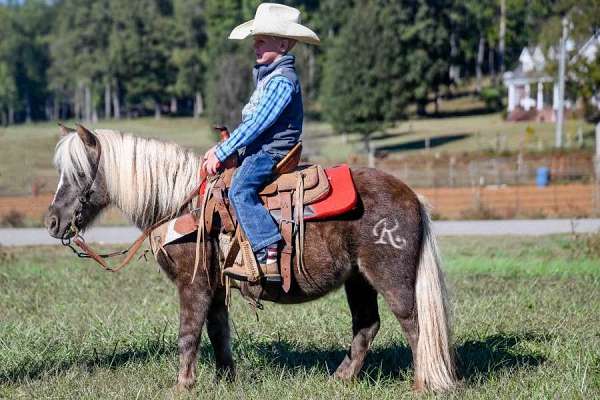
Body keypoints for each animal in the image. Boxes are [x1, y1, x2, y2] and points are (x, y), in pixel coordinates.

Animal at [47, 124, 458, 390]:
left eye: (79, 173)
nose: (52, 221)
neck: (181, 205)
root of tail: (413, 197)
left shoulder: (193, 284)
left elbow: (188, 333)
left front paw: (183, 385)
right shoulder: (214, 287)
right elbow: (218, 331)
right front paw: (225, 380)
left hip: (390, 278)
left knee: (415, 325)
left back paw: (424, 383)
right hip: (358, 279)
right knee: (367, 325)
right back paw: (342, 378)